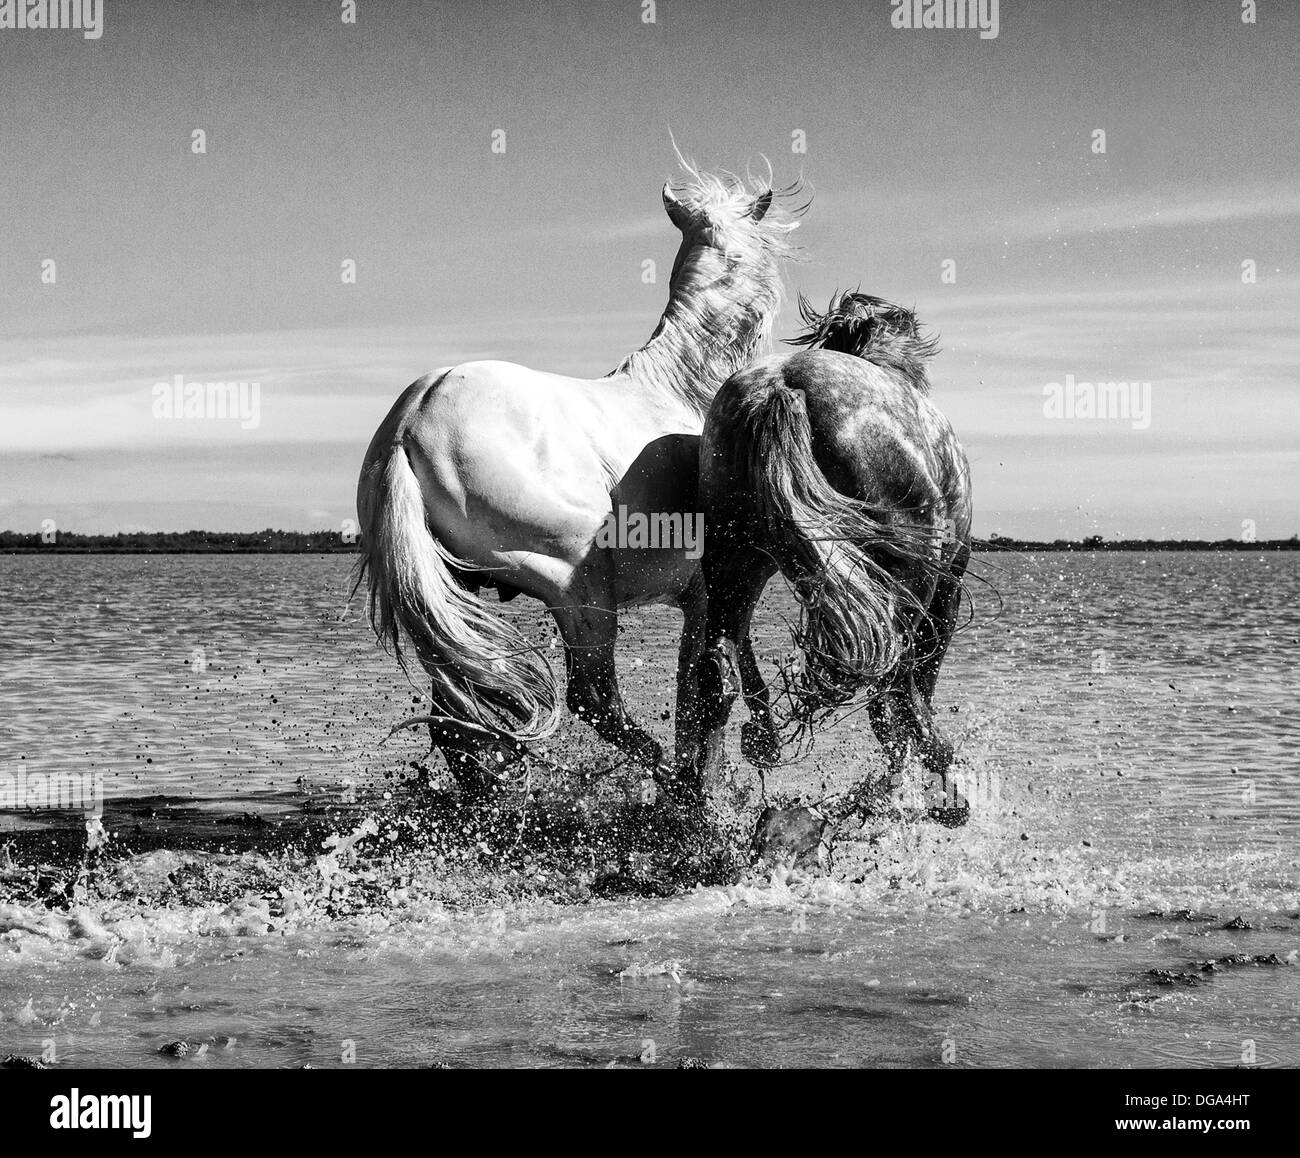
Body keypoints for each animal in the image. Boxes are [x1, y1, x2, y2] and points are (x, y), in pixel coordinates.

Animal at [355, 165, 802, 795]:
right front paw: (710, 779)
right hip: (578, 587)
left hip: (449, 599)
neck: (682, 388)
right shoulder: (707, 592)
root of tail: (412, 420)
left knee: (458, 721)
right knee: (591, 699)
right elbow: (702, 693)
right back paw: (667, 783)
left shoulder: (702, 596)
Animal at [686, 291, 973, 848]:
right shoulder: (949, 581)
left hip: (734, 563)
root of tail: (781, 388)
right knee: (893, 686)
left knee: (716, 673)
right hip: (906, 578)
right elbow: (915, 688)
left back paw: (711, 816)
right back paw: (942, 784)